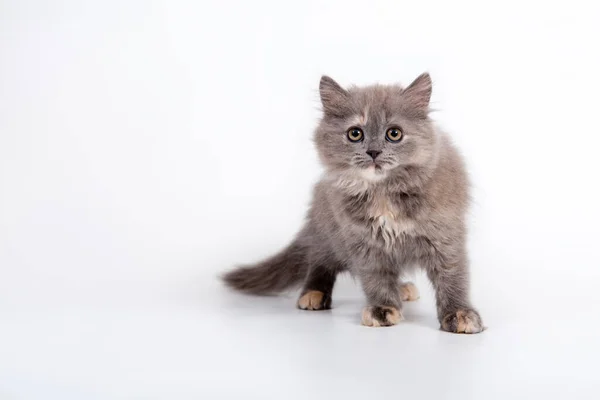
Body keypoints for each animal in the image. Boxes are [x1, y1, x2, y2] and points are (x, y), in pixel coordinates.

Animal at [223, 73, 486, 332]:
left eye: (394, 133)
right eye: (355, 133)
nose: (373, 152)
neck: (382, 193)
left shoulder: (445, 237)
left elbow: (452, 277)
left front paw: (459, 313)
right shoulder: (363, 242)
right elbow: (375, 278)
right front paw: (383, 309)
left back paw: (402, 288)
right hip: (328, 235)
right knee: (318, 261)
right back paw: (313, 293)